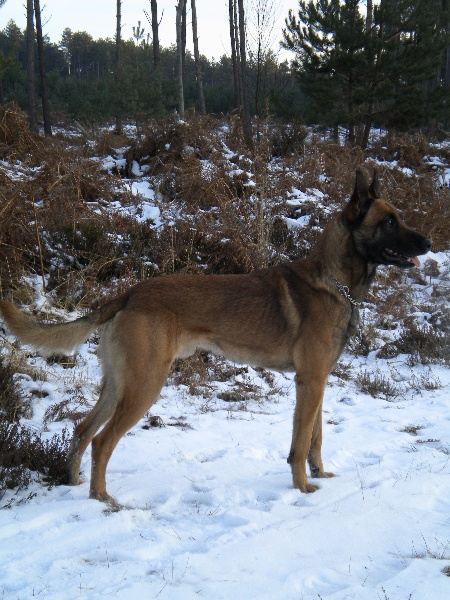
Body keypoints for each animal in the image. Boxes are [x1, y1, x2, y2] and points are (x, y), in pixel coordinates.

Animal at [0, 170, 432, 506]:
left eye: (400, 218)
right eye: (389, 222)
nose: (429, 243)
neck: (333, 280)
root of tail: (129, 294)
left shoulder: (318, 382)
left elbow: (316, 439)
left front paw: (320, 475)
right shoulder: (309, 382)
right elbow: (299, 444)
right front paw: (302, 488)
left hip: (119, 383)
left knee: (83, 430)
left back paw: (75, 484)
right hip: (144, 385)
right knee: (103, 441)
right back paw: (103, 499)